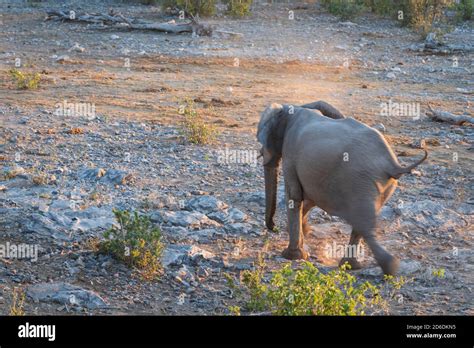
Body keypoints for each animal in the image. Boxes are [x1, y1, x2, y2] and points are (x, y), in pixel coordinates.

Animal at [258, 101, 428, 274]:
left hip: (361, 180)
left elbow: (294, 195)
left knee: (363, 222)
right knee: (363, 220)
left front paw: (292, 256)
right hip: (382, 185)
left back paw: (389, 266)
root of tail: (393, 165)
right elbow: (310, 197)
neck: (294, 108)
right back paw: (352, 265)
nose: (274, 228)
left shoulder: (290, 153)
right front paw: (305, 232)